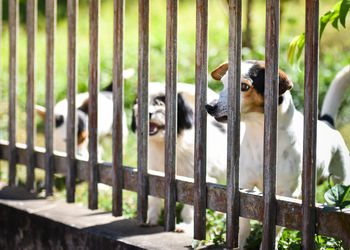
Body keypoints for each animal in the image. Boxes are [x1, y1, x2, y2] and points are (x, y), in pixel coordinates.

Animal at [131, 82, 227, 232]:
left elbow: (191, 205)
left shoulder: (194, 179)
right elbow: (154, 197)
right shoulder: (153, 173)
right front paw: (151, 218)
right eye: (138, 101)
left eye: (162, 101)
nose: (149, 113)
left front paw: (187, 225)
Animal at [205, 60, 350, 248]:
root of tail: (327, 123)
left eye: (244, 86)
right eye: (223, 83)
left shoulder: (285, 194)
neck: (259, 135)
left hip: (341, 180)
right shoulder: (243, 186)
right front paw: (239, 243)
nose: (209, 106)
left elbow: (277, 228)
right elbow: (243, 223)